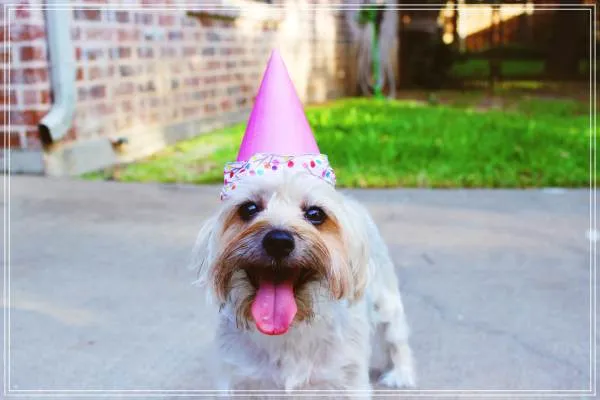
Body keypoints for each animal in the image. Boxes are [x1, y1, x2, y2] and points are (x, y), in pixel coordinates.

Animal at [191, 167, 416, 397]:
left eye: (315, 214)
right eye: (249, 208)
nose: (278, 241)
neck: (290, 329)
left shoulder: (348, 380)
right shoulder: (239, 379)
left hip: (387, 303)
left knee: (396, 338)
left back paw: (400, 374)